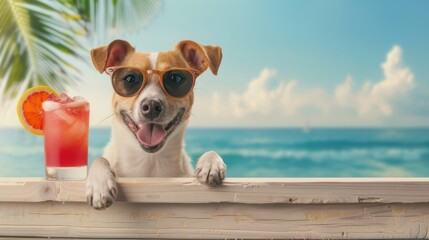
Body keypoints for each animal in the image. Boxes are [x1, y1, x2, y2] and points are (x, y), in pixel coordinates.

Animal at [86, 39, 227, 210]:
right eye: (130, 79)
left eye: (175, 78)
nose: (152, 106)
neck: (150, 162)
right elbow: (100, 159)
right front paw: (99, 183)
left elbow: (211, 152)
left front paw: (211, 162)